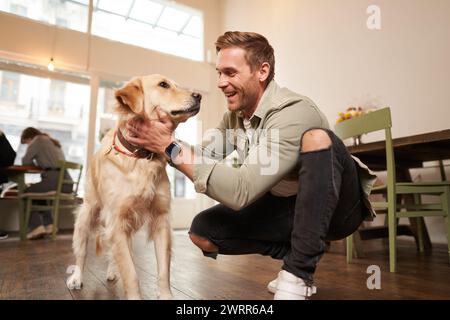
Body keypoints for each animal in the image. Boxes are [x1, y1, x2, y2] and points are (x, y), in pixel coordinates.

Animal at [66, 75, 201, 300]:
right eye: (163, 85)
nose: (198, 95)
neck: (141, 157)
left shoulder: (160, 219)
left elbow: (163, 269)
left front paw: (165, 295)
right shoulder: (117, 221)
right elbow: (131, 273)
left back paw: (112, 270)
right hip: (87, 215)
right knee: (82, 252)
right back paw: (77, 278)